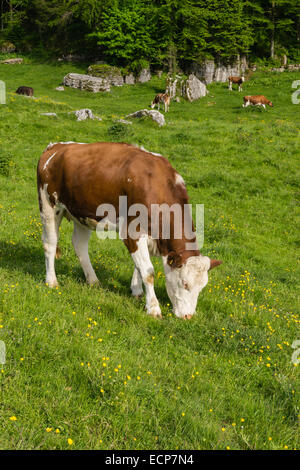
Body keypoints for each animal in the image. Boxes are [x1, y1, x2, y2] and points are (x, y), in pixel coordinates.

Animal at [37, 142, 220, 320]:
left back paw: (93, 281)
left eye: (202, 287)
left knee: (80, 245)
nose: (188, 316)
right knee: (50, 244)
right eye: (184, 283)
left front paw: (136, 291)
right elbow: (148, 272)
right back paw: (52, 281)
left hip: (82, 213)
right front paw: (153, 308)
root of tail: (56, 146)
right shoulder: (133, 232)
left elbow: (139, 267)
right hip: (49, 207)